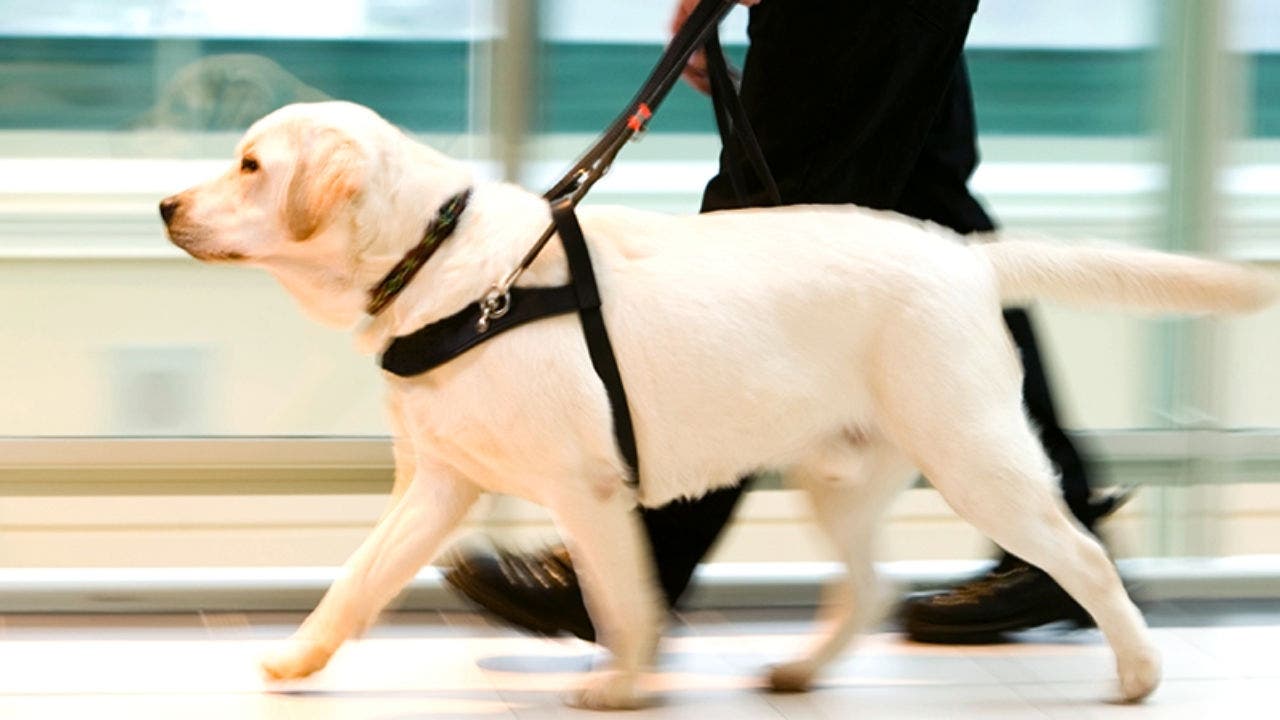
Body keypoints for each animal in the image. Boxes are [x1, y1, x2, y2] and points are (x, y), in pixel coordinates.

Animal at [165, 101, 1274, 707]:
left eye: (251, 165)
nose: (167, 205)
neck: (443, 263)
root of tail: (963, 254)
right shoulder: (439, 483)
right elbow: (359, 577)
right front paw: (298, 655)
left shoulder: (588, 490)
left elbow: (623, 598)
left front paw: (621, 683)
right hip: (843, 477)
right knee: (868, 586)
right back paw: (800, 673)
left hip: (974, 458)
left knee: (1083, 554)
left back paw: (1136, 669)